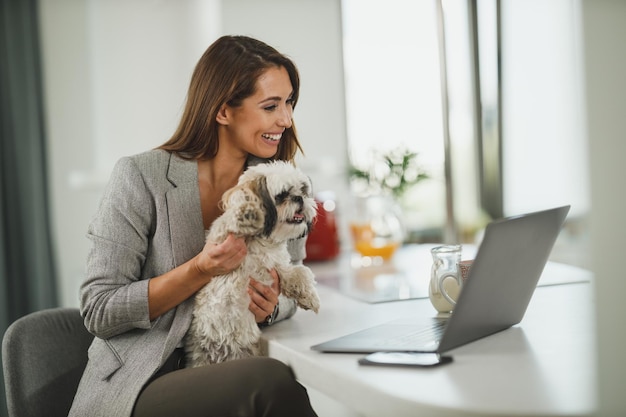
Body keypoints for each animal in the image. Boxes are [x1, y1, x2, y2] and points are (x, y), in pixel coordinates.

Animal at [183, 161, 320, 366]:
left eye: (303, 191)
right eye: (282, 195)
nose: (299, 198)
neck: (264, 242)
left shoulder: (278, 267)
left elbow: (299, 272)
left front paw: (309, 296)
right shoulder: (221, 239)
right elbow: (229, 221)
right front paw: (247, 212)